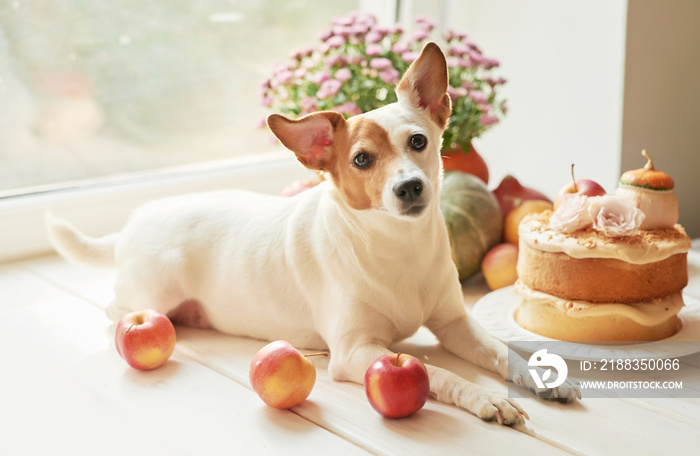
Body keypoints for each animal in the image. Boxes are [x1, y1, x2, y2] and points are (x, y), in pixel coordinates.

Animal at [47, 41, 576, 424]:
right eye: (361, 159)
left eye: (418, 142)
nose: (409, 187)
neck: (397, 248)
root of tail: (132, 226)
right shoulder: (357, 352)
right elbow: (436, 371)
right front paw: (483, 397)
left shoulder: (455, 325)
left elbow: (500, 351)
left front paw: (539, 377)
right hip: (154, 294)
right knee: (118, 308)